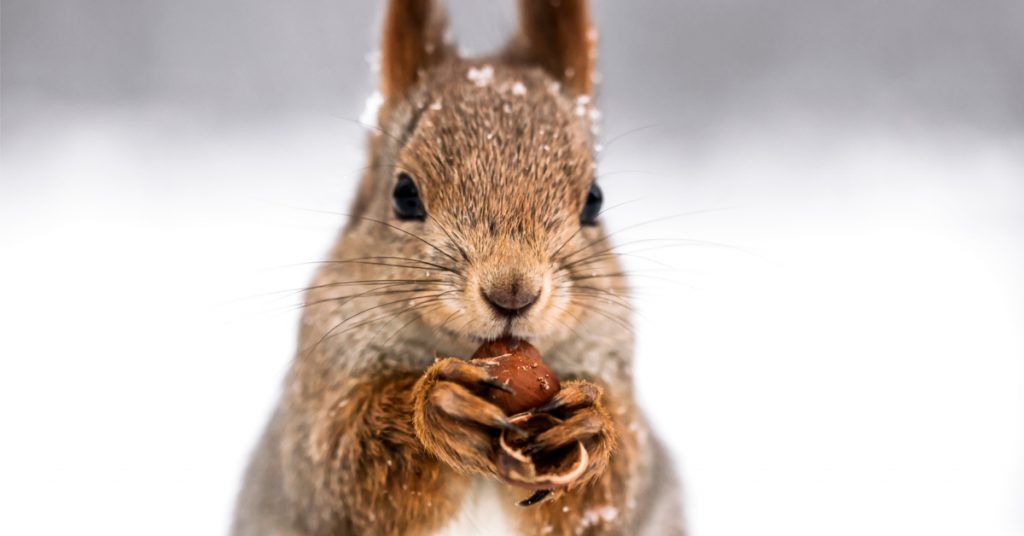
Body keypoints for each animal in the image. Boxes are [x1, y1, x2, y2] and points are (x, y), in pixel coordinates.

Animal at [228, 2, 684, 532]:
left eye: (595, 200)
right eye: (404, 194)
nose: (513, 292)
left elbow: (617, 486)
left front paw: (589, 427)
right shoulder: (315, 405)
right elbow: (343, 461)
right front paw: (438, 406)